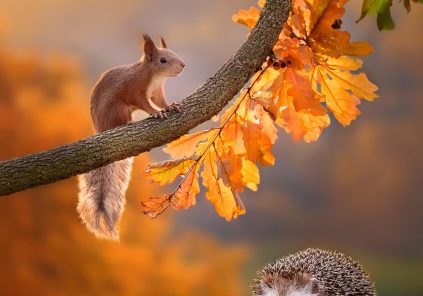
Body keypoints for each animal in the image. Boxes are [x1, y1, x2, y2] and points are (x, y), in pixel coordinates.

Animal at [77, 34, 186, 239]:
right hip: (119, 109)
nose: (183, 65)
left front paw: (170, 106)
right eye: (163, 60)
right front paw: (156, 113)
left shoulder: (157, 92)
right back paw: (127, 124)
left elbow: (161, 101)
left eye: (174, 52)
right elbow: (146, 104)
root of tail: (100, 128)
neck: (155, 77)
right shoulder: (135, 90)